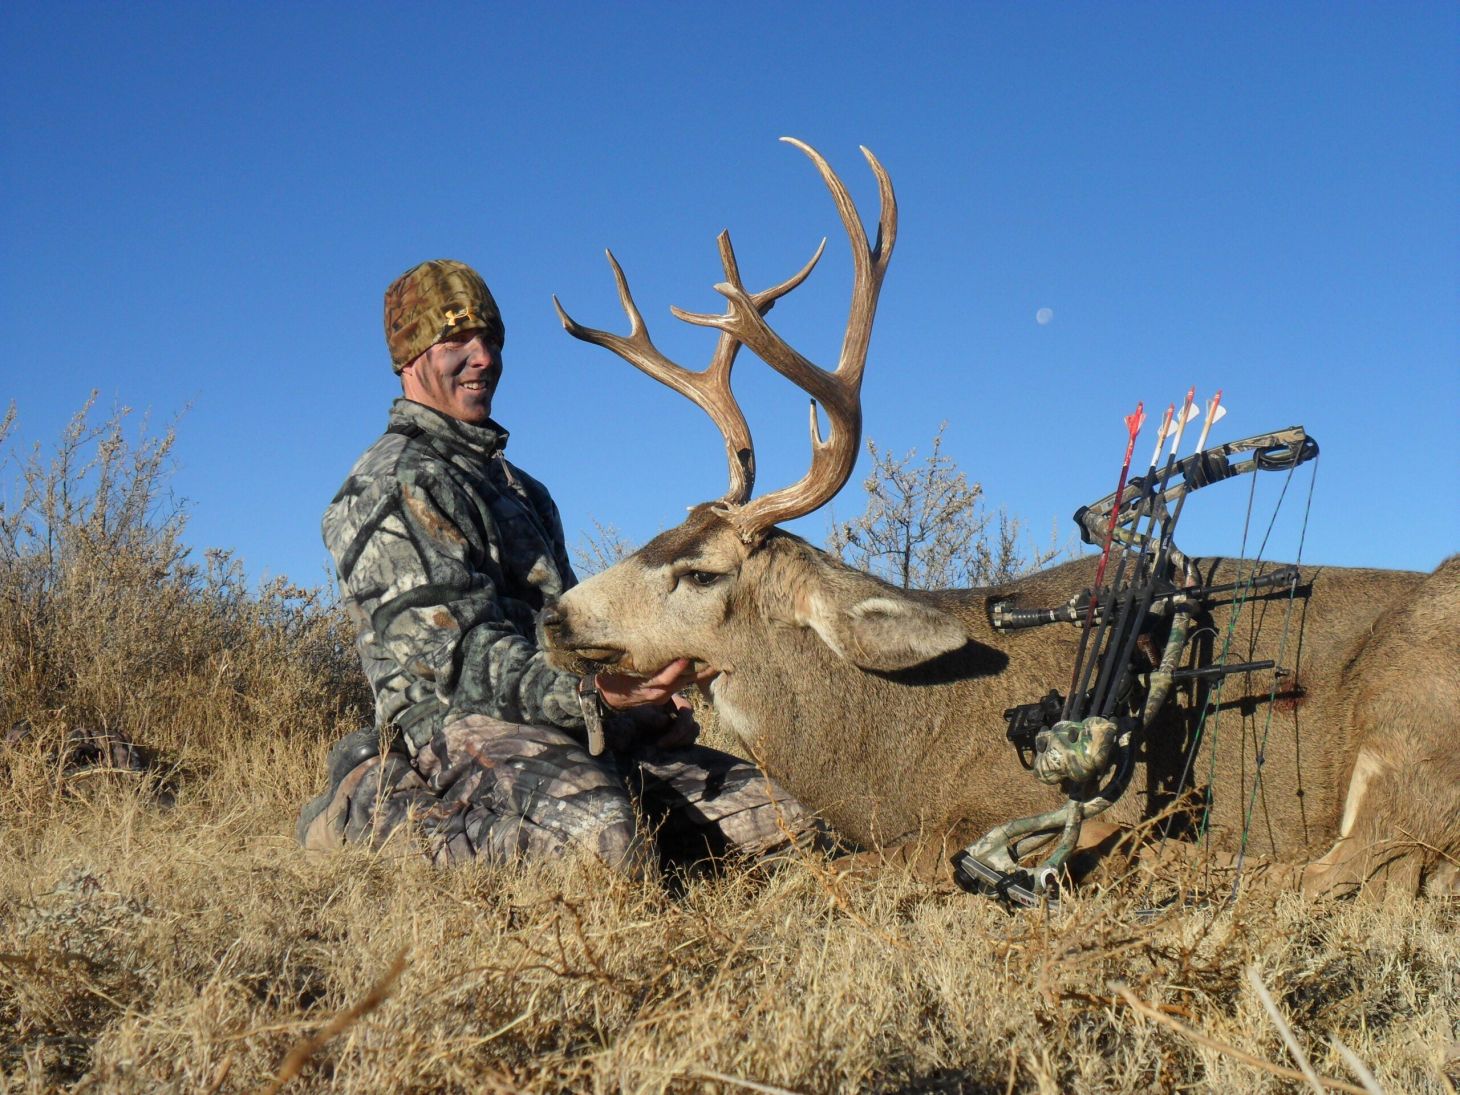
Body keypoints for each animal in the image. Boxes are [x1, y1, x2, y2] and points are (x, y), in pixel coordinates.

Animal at [540, 139, 1460, 900]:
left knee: (1357, 871)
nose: (555, 615)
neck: (889, 752)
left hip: (1405, 704)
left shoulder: (1051, 804)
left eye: (700, 571)